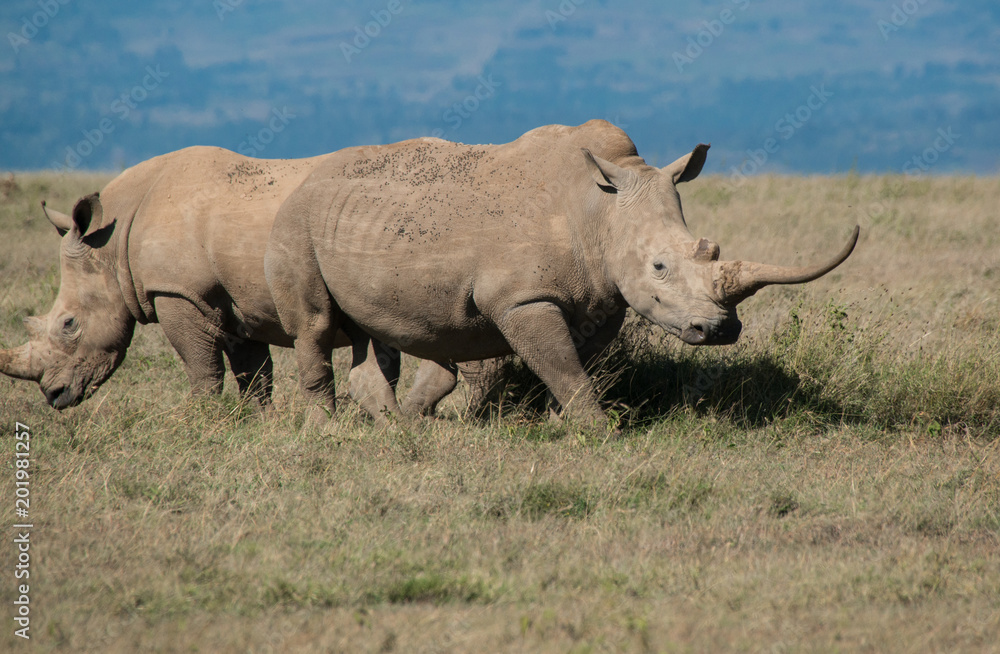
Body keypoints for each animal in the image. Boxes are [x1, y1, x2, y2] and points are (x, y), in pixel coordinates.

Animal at [0, 149, 464, 416]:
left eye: (69, 324)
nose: (54, 396)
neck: (112, 244)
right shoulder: (237, 302)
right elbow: (253, 371)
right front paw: (259, 421)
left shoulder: (177, 291)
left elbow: (201, 366)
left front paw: (196, 419)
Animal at [266, 120, 860, 428]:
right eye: (660, 267)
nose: (718, 330)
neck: (601, 212)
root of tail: (308, 176)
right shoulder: (522, 297)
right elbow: (561, 364)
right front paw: (599, 433)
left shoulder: (601, 300)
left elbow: (576, 365)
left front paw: (562, 424)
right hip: (295, 223)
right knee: (316, 327)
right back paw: (329, 430)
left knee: (378, 335)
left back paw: (399, 427)